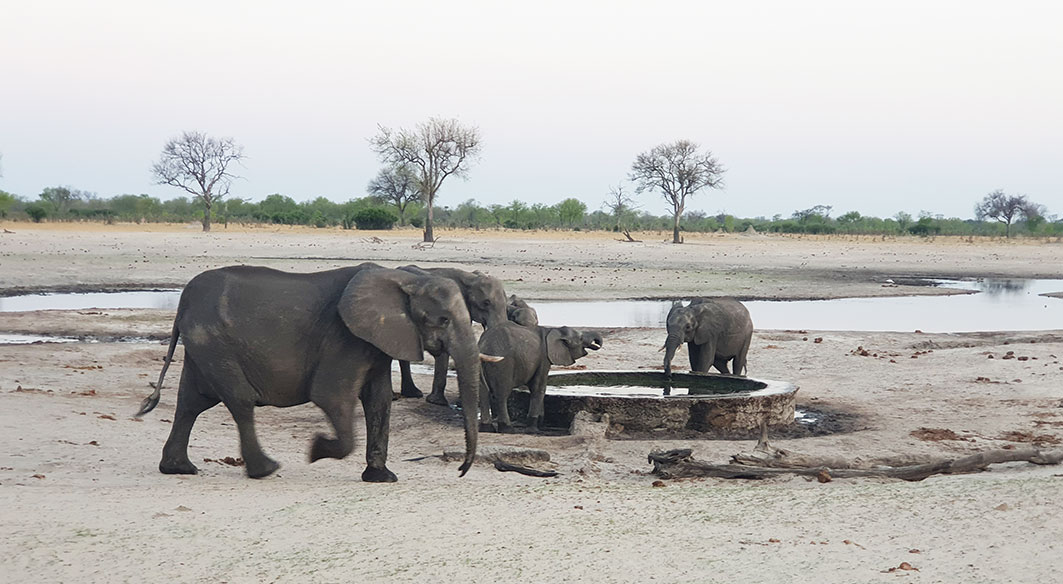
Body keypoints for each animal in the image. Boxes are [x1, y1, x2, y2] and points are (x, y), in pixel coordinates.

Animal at [135, 264, 484, 482]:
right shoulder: (345, 337)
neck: (406, 278)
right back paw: (266, 469)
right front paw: (315, 450)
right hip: (213, 341)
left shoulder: (377, 341)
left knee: (192, 402)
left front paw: (382, 478)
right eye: (442, 320)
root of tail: (182, 302)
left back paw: (178, 469)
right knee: (239, 400)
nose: (461, 470)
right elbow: (331, 396)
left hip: (203, 344)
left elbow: (379, 400)